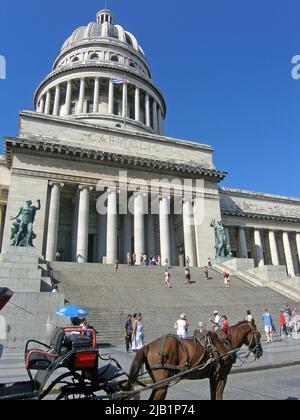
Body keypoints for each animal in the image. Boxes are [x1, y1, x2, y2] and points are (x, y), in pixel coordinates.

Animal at [127, 322, 264, 400]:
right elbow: (218, 396)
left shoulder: (213, 377)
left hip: (158, 384)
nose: (260, 352)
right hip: (162, 385)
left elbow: (213, 396)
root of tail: (147, 346)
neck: (224, 342)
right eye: (259, 335)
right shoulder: (221, 376)